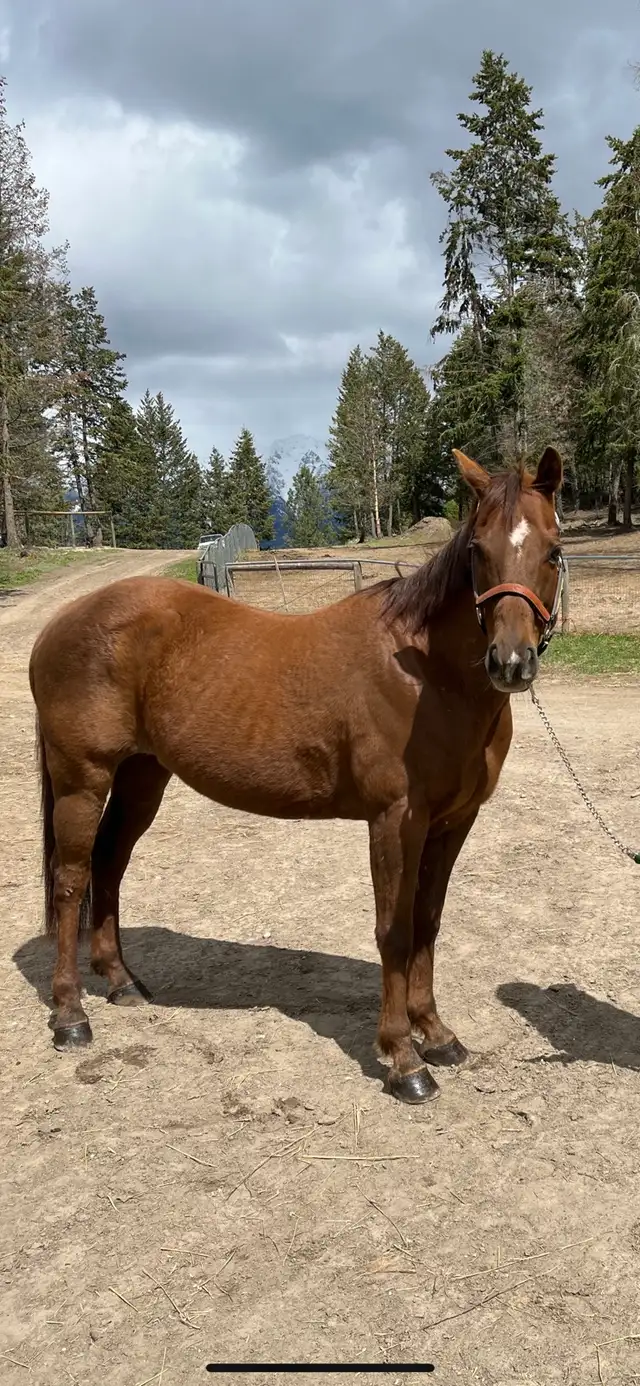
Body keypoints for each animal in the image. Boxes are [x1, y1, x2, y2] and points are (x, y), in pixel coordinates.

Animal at [29, 446, 564, 1103]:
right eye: (478, 550)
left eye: (553, 550)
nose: (510, 662)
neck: (427, 677)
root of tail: (63, 622)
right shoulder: (395, 821)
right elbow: (394, 928)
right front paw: (403, 1059)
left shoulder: (452, 822)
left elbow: (428, 924)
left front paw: (437, 1035)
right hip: (82, 779)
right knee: (71, 881)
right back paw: (70, 1015)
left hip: (140, 778)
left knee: (109, 864)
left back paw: (123, 983)